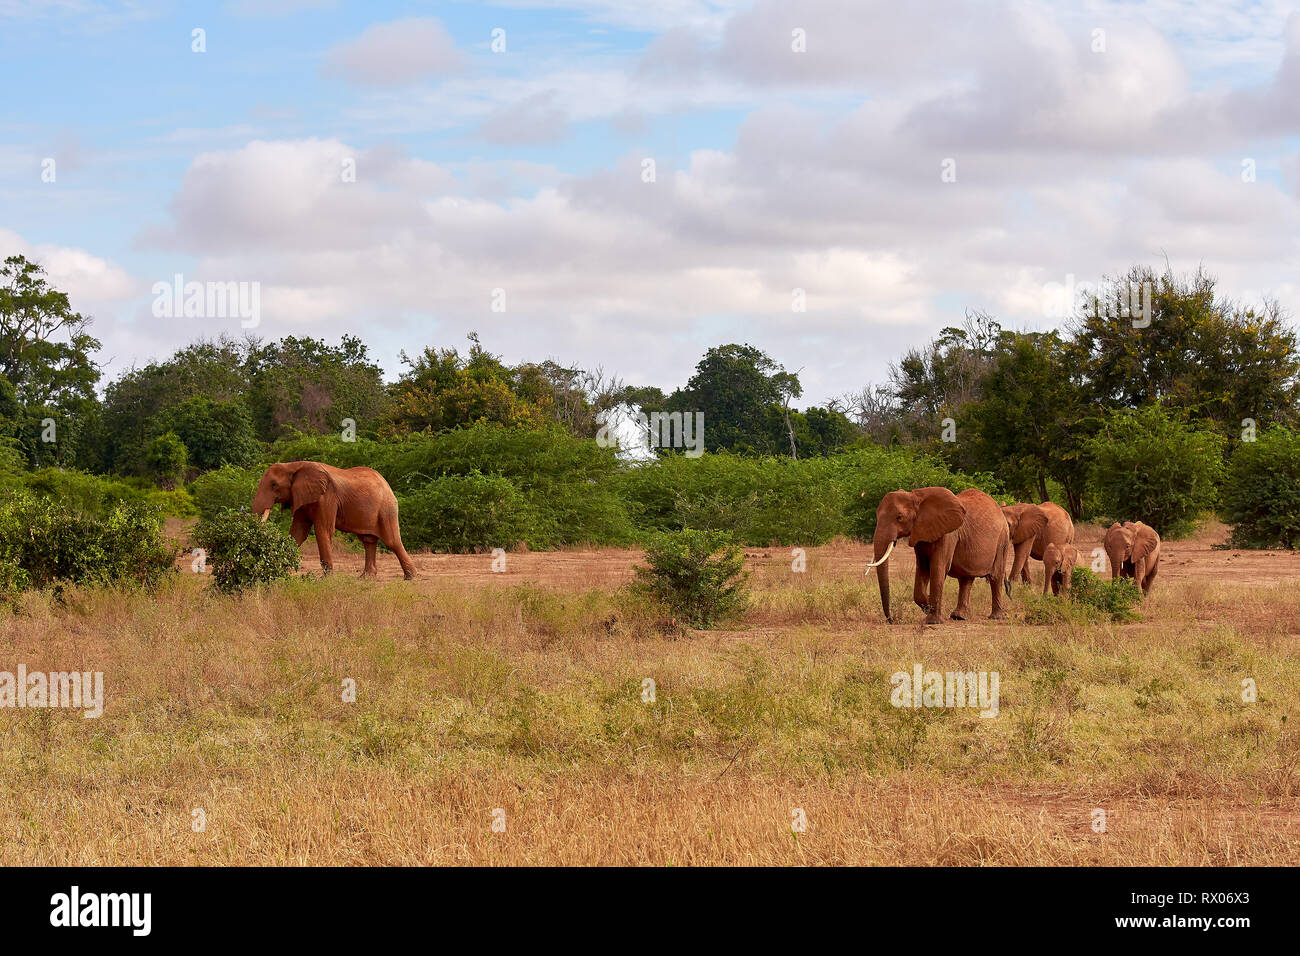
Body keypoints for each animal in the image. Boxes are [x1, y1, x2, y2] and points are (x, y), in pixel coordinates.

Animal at [250, 460, 413, 580]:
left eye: (274, 485)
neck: (293, 465)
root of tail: (387, 484)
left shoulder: (326, 497)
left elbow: (323, 530)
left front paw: (326, 578)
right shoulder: (302, 498)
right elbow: (298, 532)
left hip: (386, 508)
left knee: (392, 541)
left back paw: (409, 577)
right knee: (368, 541)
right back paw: (366, 578)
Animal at [868, 486, 1008, 629]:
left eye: (899, 517)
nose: (891, 620)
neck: (917, 497)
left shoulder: (948, 534)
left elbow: (938, 567)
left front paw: (933, 620)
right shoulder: (920, 533)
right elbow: (922, 568)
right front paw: (927, 605)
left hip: (1003, 539)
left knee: (995, 576)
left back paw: (996, 617)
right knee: (966, 579)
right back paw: (959, 617)